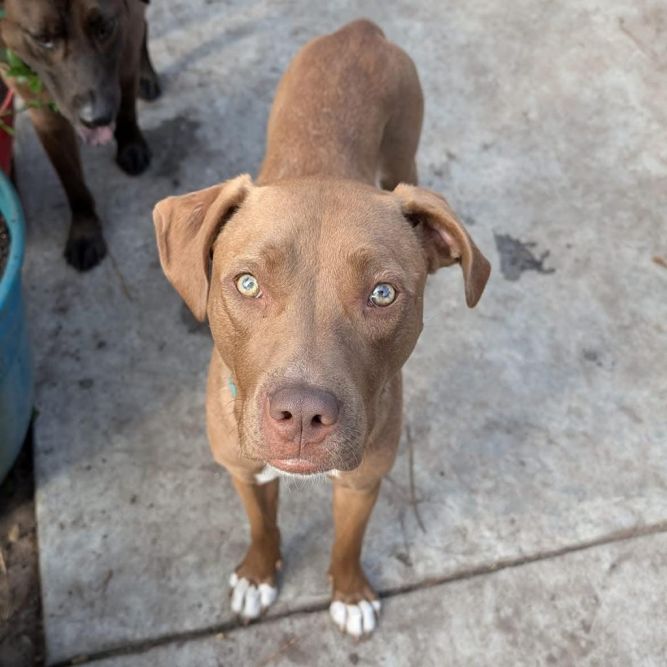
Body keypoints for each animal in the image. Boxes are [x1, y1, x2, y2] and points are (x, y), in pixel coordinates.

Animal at [0, 0, 160, 272]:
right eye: (43, 39)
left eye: (105, 28)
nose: (97, 117)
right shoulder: (44, 115)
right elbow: (72, 181)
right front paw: (85, 231)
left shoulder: (126, 47)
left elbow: (126, 108)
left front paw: (130, 145)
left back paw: (147, 76)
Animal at [155, 19, 490, 636]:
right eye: (247, 284)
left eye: (382, 294)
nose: (303, 415)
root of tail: (361, 30)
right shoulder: (244, 469)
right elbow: (262, 524)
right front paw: (259, 573)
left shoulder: (362, 480)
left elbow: (348, 541)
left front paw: (350, 592)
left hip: (405, 150)